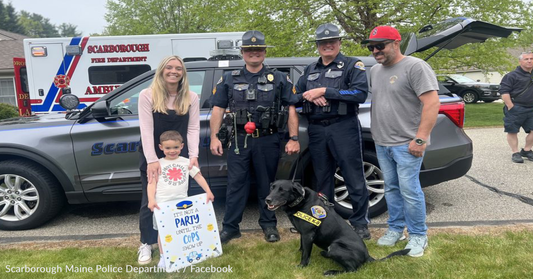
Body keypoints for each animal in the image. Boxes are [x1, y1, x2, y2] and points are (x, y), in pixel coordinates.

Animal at [264, 180, 408, 276]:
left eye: (282, 190)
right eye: (272, 188)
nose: (267, 199)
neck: (301, 201)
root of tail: (367, 256)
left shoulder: (308, 234)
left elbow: (306, 254)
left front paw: (302, 266)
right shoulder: (303, 234)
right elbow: (302, 247)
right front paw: (298, 252)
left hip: (335, 247)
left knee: (352, 269)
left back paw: (332, 272)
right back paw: (324, 254)